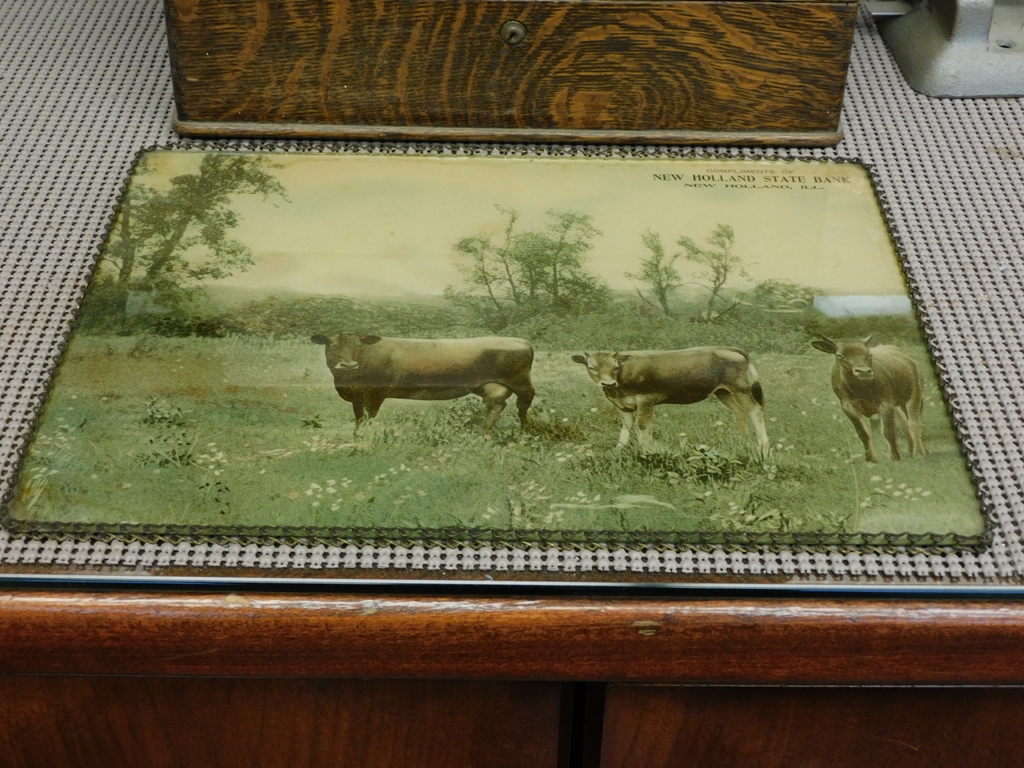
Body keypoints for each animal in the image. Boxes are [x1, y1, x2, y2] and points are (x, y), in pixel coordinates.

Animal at [311, 333, 535, 430]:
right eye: (332, 345)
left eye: (358, 346)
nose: (348, 365)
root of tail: (522, 341)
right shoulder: (357, 397)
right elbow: (358, 420)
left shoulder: (376, 393)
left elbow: (367, 419)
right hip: (487, 385)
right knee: (498, 404)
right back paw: (484, 431)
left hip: (521, 382)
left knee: (523, 405)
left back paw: (525, 431)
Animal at [571, 347, 770, 459]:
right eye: (591, 367)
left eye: (615, 367)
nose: (608, 383)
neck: (619, 388)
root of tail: (731, 349)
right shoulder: (624, 405)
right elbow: (626, 426)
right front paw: (618, 450)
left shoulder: (645, 399)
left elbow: (642, 426)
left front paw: (647, 451)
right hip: (723, 391)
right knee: (740, 411)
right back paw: (739, 440)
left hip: (740, 388)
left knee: (755, 410)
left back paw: (763, 446)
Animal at [811, 334, 925, 462]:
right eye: (840, 355)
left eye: (869, 354)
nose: (864, 372)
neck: (861, 389)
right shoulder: (849, 408)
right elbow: (863, 433)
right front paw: (871, 458)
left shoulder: (885, 404)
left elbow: (888, 431)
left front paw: (894, 457)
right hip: (896, 403)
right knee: (905, 423)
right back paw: (911, 450)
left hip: (915, 392)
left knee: (914, 423)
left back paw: (919, 452)